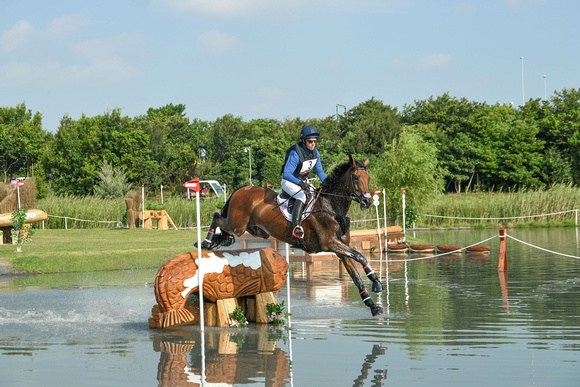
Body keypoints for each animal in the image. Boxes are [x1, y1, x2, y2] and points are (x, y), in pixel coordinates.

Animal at [199, 156, 386, 316]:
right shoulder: (330, 243)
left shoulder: (341, 249)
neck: (331, 206)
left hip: (253, 229)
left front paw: (373, 305)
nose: (367, 201)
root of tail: (242, 189)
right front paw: (377, 284)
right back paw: (206, 242)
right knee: (217, 216)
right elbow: (361, 256)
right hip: (237, 225)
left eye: (368, 178)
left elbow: (356, 275)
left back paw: (216, 242)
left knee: (225, 229)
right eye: (356, 178)